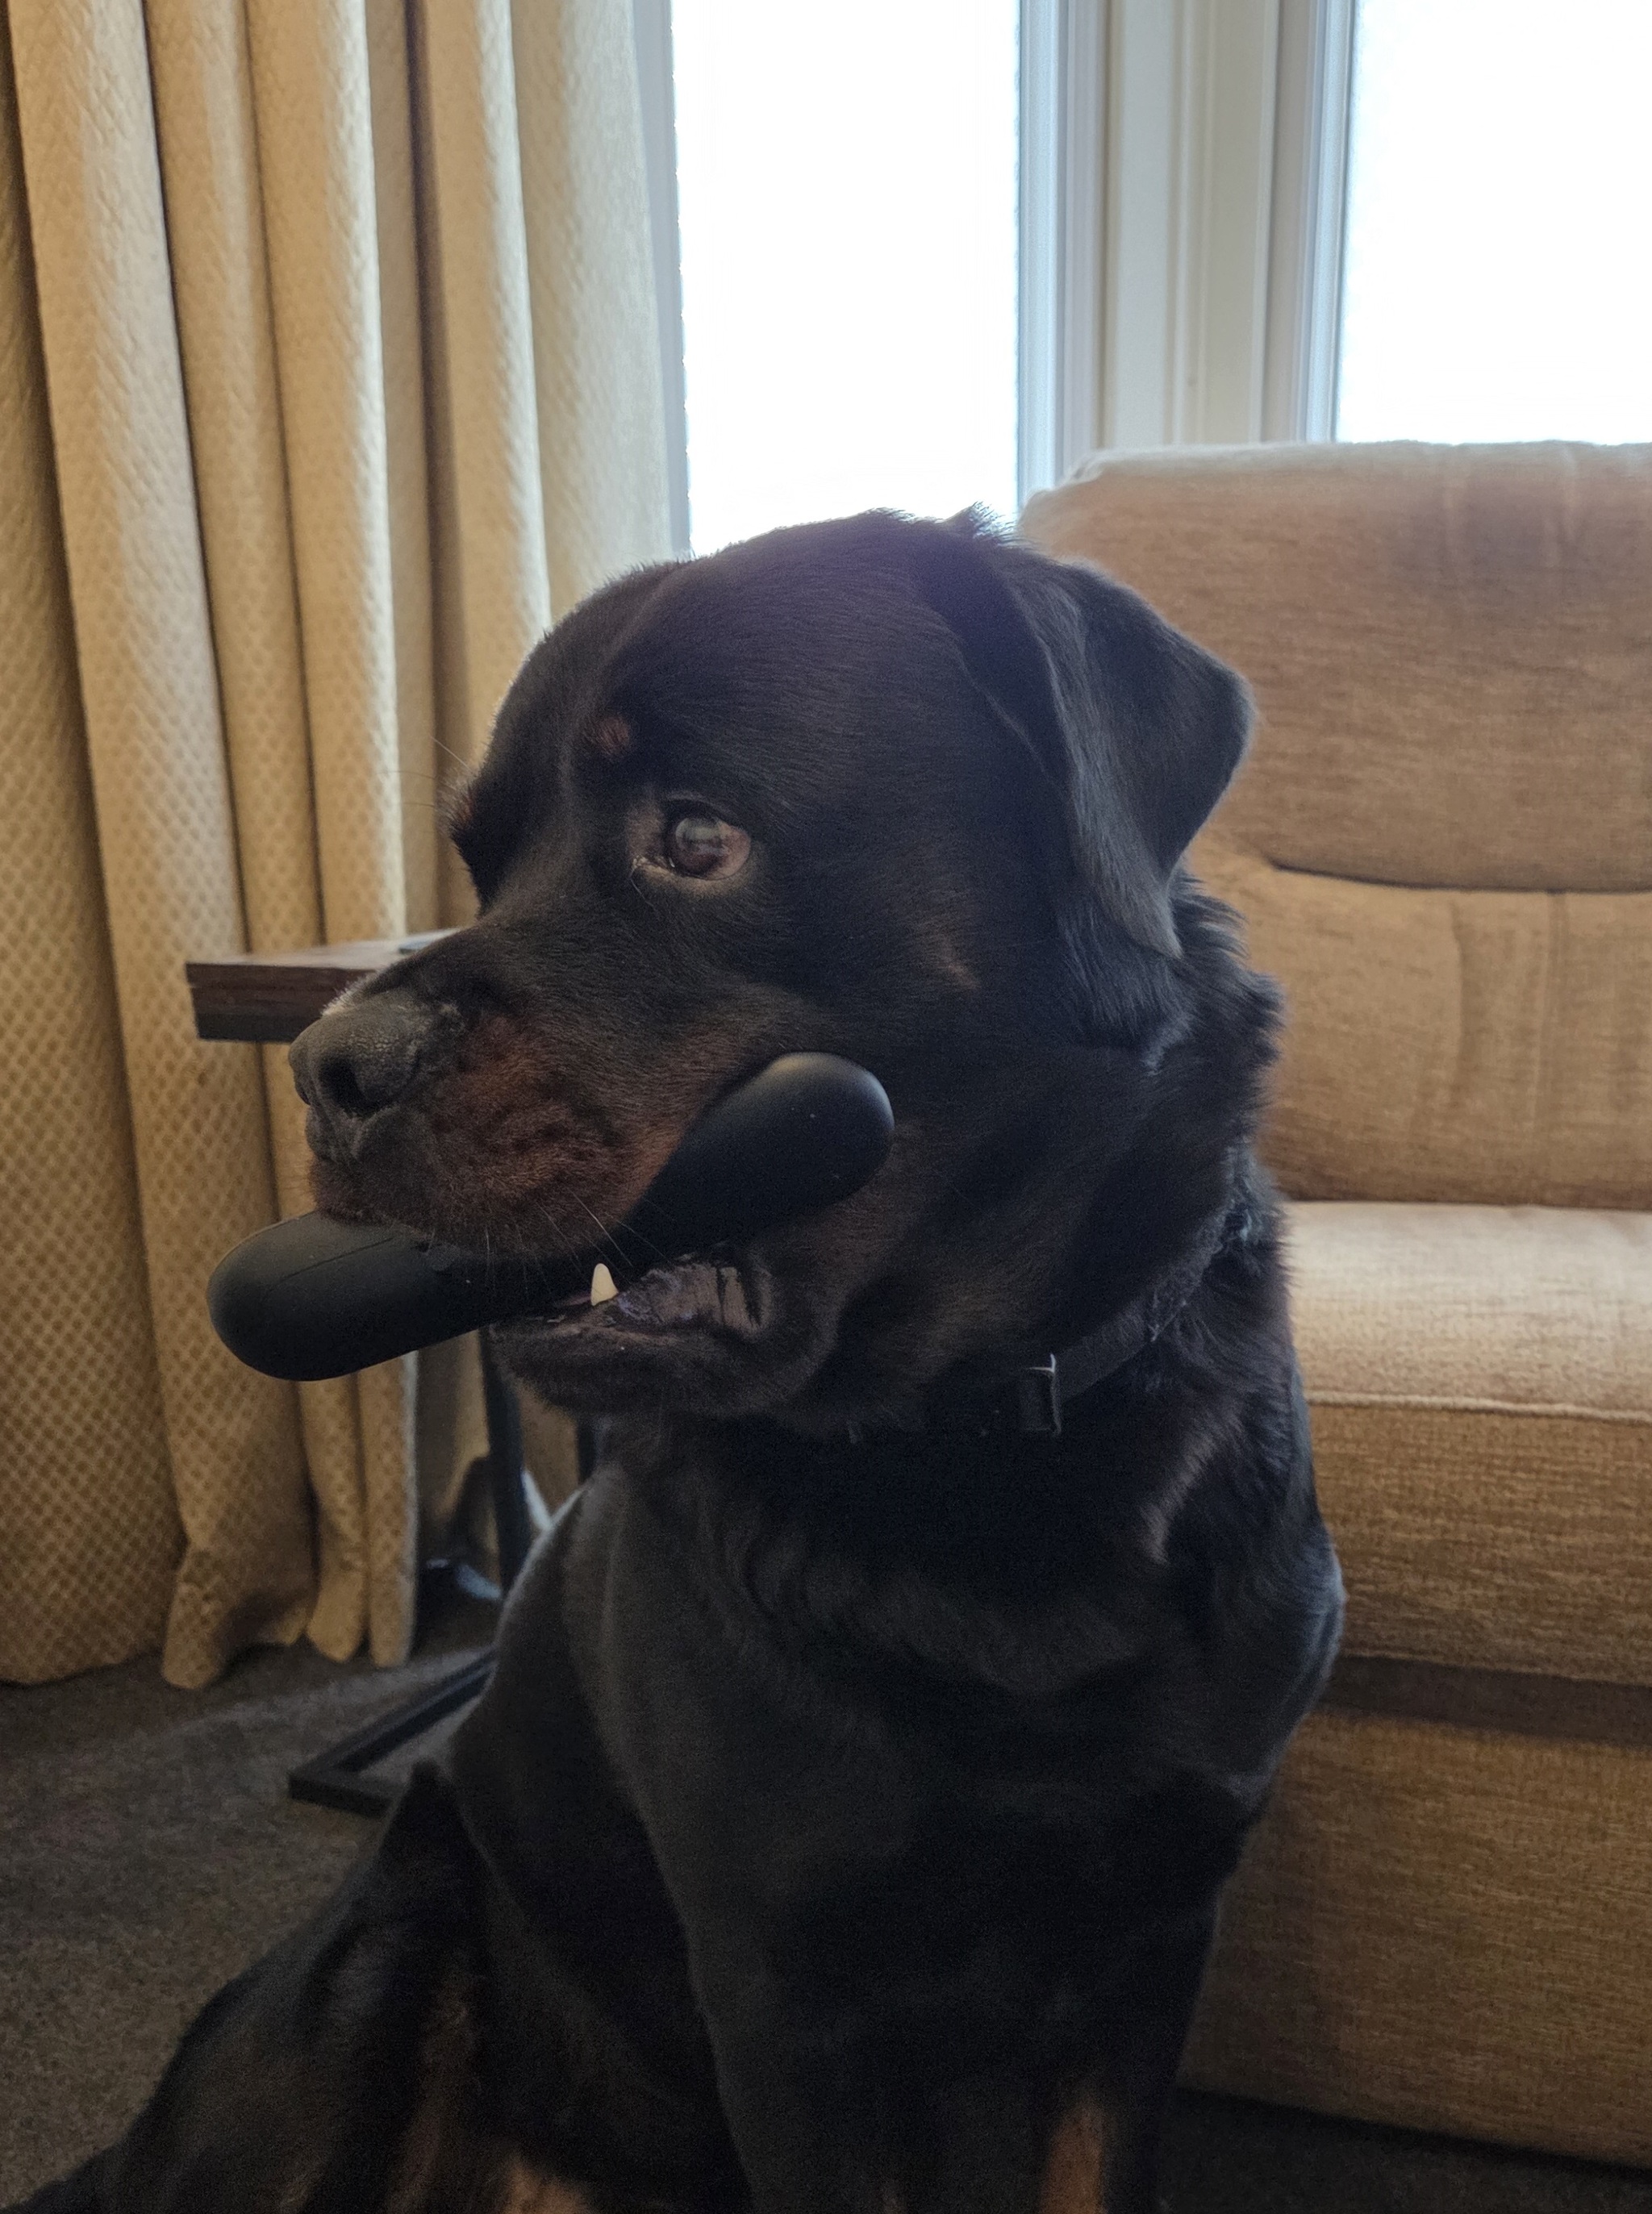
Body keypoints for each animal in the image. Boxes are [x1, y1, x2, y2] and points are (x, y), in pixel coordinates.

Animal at [20, 511, 1342, 2214]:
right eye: (482, 856)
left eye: (695, 837)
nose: (328, 1067)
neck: (977, 1440)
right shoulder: (785, 1988)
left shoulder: (1151, 1938)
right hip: (375, 1954)